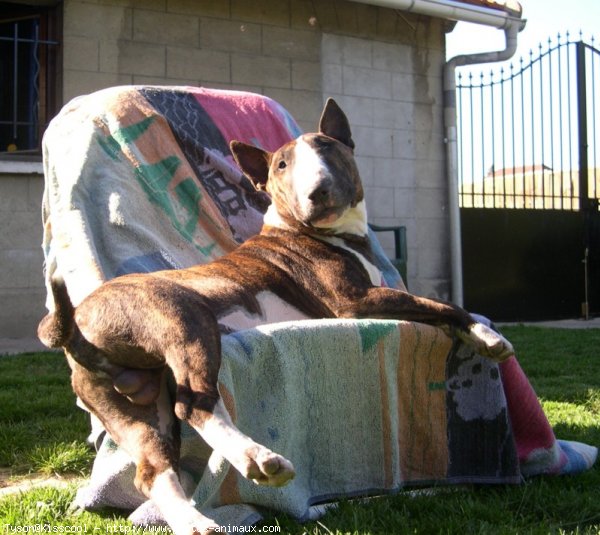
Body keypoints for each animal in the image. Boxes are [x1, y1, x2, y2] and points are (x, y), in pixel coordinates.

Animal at [37, 98, 512, 532]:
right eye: (282, 165)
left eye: (328, 147)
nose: (316, 191)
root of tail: (75, 327)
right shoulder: (353, 301)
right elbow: (440, 304)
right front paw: (488, 336)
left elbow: (428, 302)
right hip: (185, 321)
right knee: (194, 405)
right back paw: (257, 459)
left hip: (131, 404)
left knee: (153, 469)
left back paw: (198, 522)